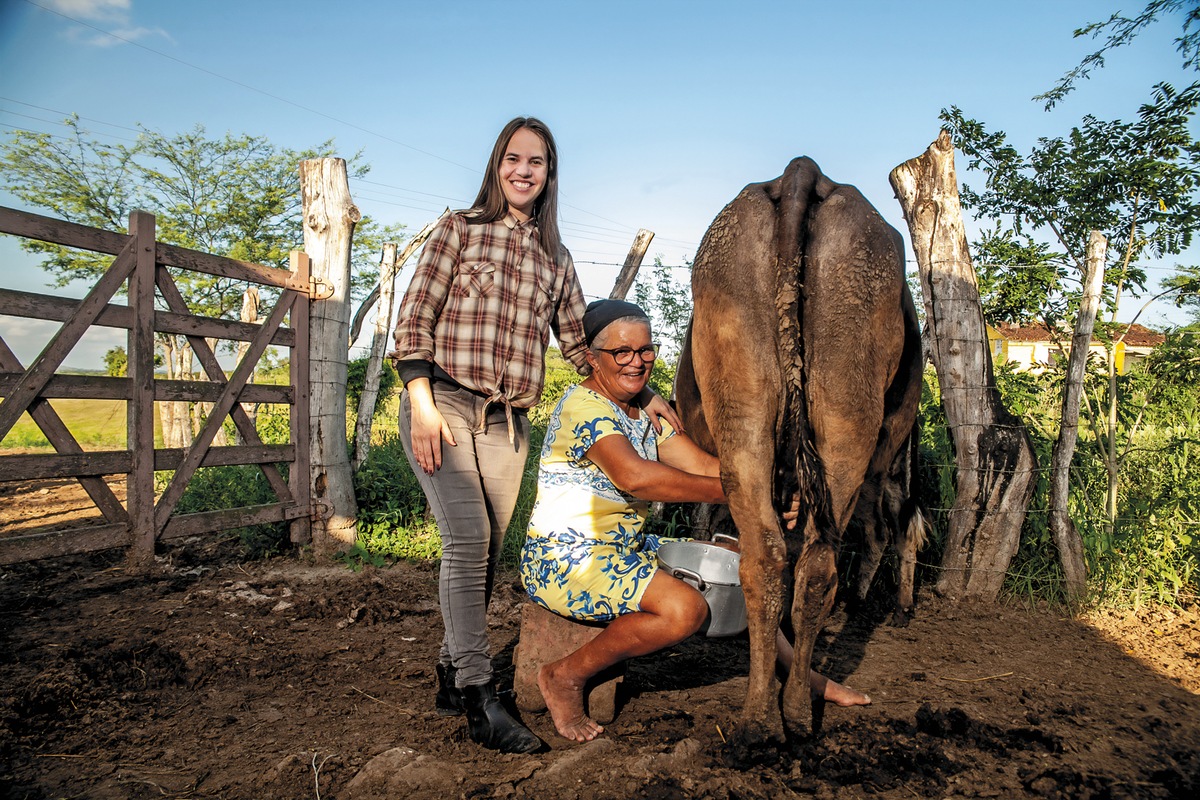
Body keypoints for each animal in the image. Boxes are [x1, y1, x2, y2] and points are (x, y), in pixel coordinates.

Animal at [676, 158, 916, 753]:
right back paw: (789, 713)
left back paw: (764, 718)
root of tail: (802, 172)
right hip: (840, 418)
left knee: (771, 555)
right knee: (812, 563)